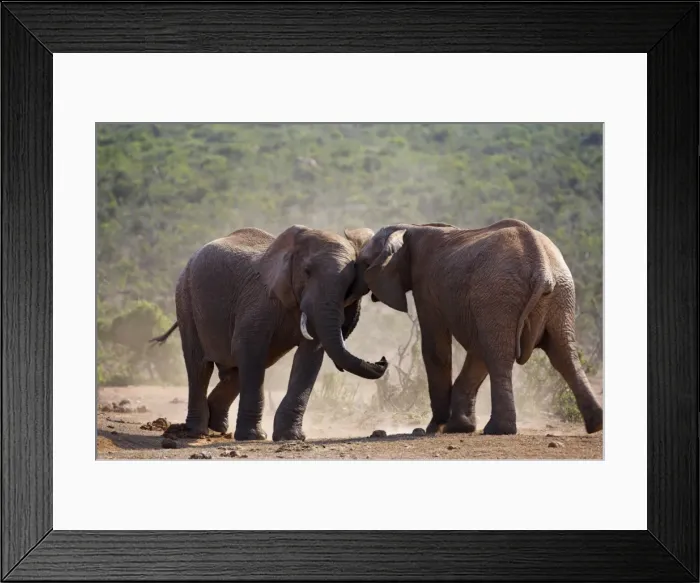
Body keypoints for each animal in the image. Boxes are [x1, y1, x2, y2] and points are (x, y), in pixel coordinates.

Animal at [150, 225, 388, 441]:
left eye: (350, 282)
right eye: (307, 272)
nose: (382, 361)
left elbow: (308, 358)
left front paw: (290, 438)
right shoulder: (260, 299)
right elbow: (248, 348)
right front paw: (254, 437)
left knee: (236, 370)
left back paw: (216, 426)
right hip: (185, 297)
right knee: (199, 365)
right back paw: (196, 432)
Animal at [356, 218, 603, 436]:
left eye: (364, 263)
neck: (409, 227)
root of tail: (541, 266)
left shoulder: (424, 285)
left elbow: (436, 349)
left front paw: (435, 428)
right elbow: (477, 348)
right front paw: (459, 427)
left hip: (500, 293)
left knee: (500, 355)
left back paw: (498, 430)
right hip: (559, 294)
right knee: (564, 353)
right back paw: (596, 424)